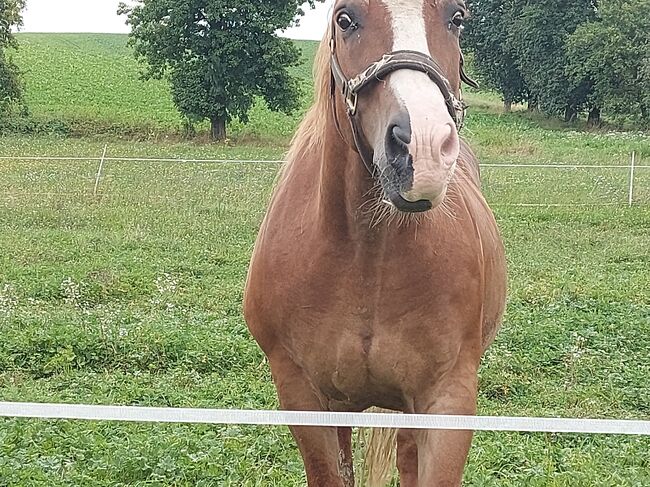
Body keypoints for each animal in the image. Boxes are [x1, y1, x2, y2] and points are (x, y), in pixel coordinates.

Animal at [243, 1, 506, 486]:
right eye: (344, 19)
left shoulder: (447, 403)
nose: (421, 146)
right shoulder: (305, 399)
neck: (365, 256)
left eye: (458, 17)